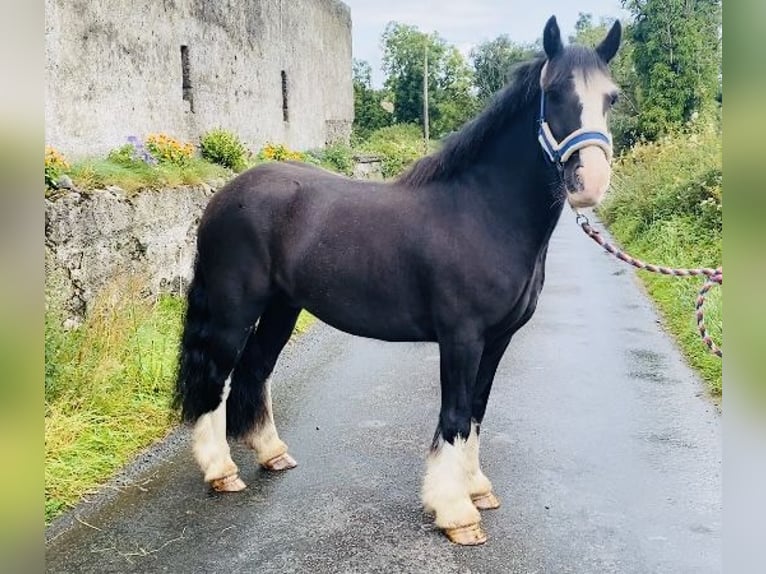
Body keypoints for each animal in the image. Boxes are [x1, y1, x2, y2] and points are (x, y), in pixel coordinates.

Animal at [176, 16, 624, 548]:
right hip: (234, 311)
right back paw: (221, 471)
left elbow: (477, 410)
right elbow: (455, 415)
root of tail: (223, 196)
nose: (589, 182)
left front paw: (476, 489)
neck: (482, 212)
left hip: (282, 308)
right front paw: (455, 512)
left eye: (612, 97)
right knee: (217, 380)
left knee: (255, 370)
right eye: (554, 93)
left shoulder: (497, 341)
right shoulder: (461, 339)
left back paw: (272, 453)